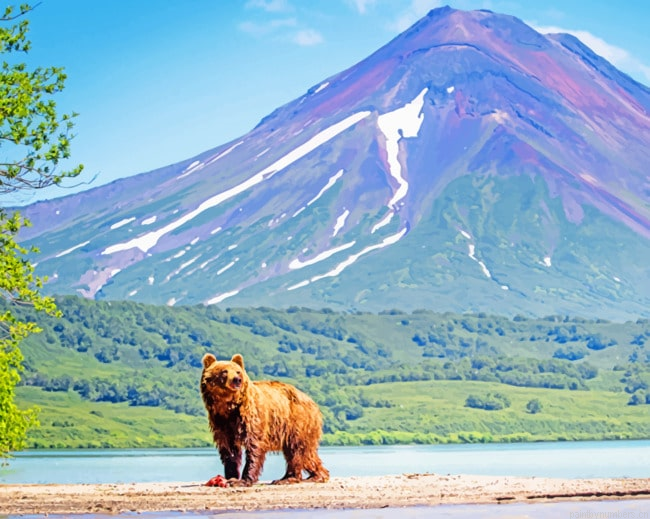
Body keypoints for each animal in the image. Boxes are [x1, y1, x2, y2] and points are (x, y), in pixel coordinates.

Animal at [200, 352, 330, 486]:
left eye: (238, 371)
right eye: (224, 371)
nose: (237, 380)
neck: (228, 406)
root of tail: (312, 401)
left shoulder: (251, 416)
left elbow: (254, 446)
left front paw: (243, 480)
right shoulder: (221, 422)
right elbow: (229, 449)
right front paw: (231, 476)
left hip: (298, 421)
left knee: (297, 450)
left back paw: (290, 478)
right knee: (305, 453)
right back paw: (315, 475)